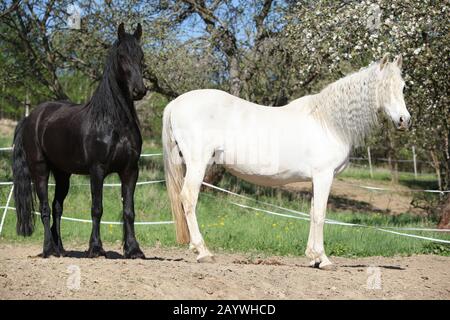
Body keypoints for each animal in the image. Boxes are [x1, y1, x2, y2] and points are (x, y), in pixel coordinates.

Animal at [12, 22, 147, 258]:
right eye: (122, 56)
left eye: (141, 56)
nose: (139, 90)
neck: (113, 122)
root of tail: (31, 118)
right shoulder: (97, 170)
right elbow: (97, 209)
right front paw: (96, 248)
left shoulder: (130, 170)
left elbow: (129, 211)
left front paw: (134, 249)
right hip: (40, 169)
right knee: (45, 208)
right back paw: (48, 249)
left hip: (62, 174)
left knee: (57, 207)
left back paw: (60, 249)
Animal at [163, 55, 412, 270]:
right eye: (383, 87)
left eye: (402, 87)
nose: (404, 121)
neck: (328, 122)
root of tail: (175, 103)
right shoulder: (324, 176)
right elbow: (321, 214)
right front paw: (324, 259)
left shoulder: (315, 179)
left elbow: (312, 213)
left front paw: (313, 257)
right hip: (197, 164)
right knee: (188, 198)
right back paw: (203, 252)